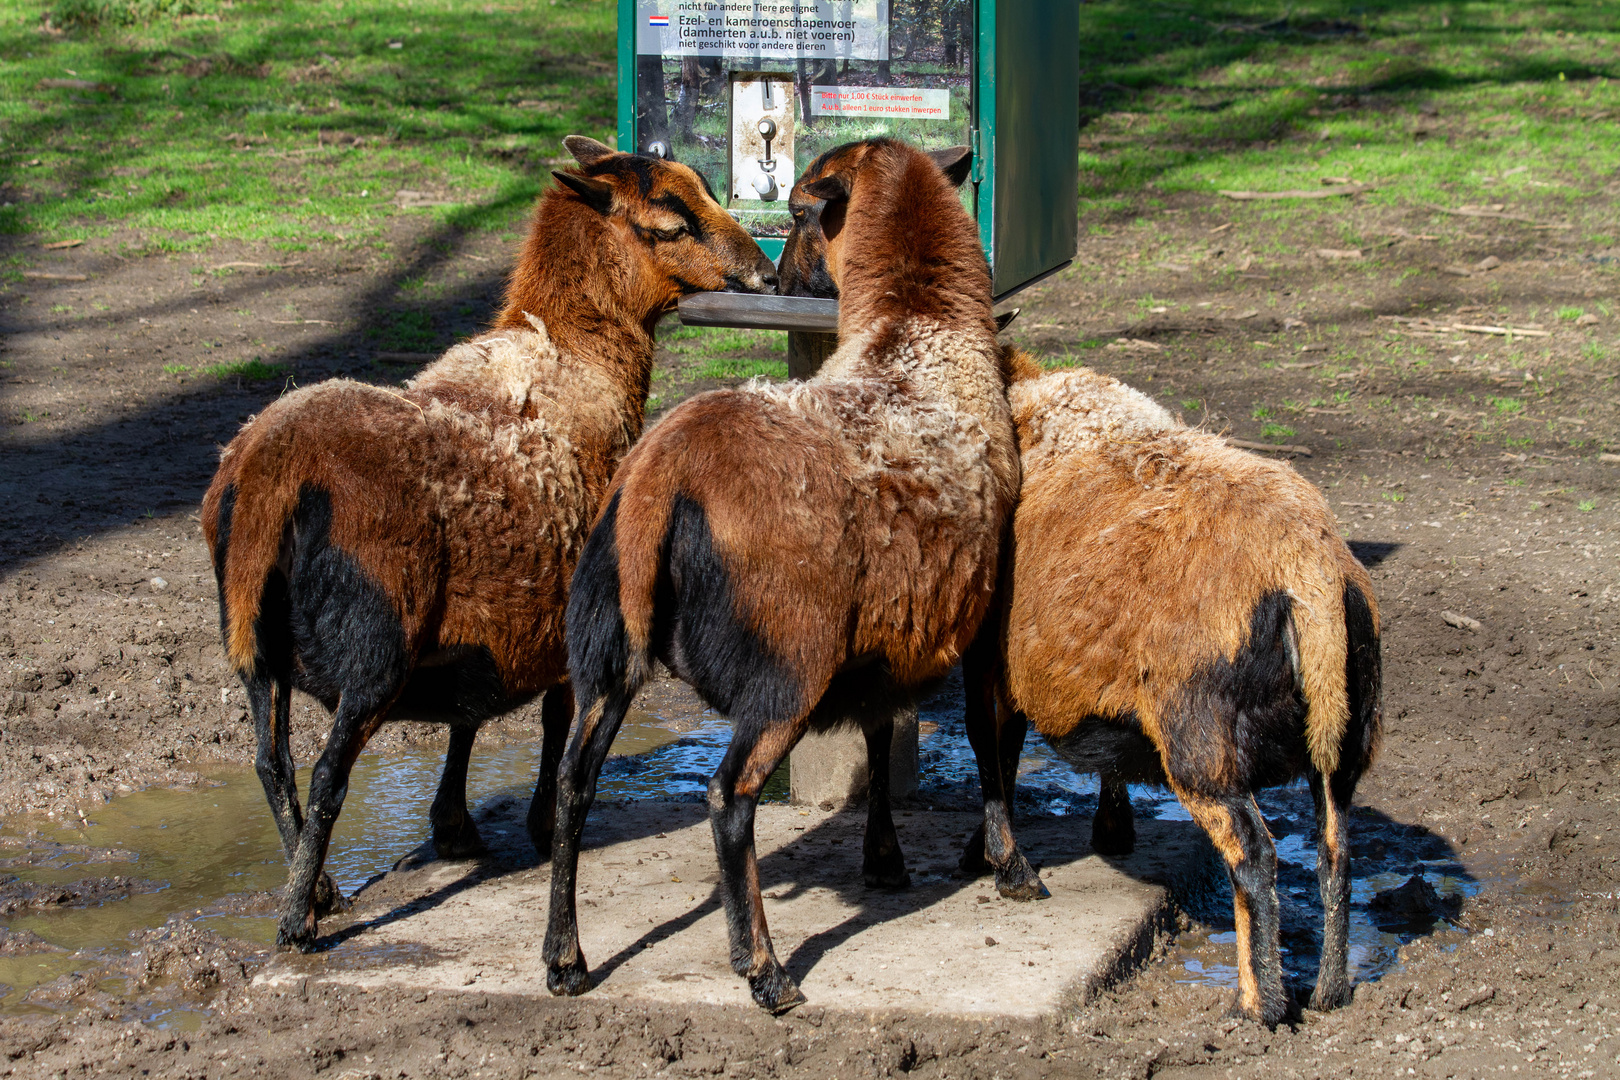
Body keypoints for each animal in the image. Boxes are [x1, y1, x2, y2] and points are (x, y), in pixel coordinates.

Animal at [196, 137, 777, 952]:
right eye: (669, 225)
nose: (766, 275)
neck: (576, 354)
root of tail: (266, 474)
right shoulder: (568, 605)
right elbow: (556, 718)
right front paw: (532, 822)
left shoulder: (492, 615)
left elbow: (468, 715)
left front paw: (454, 827)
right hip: (376, 642)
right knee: (325, 774)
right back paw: (296, 921)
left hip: (254, 643)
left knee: (270, 762)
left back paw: (323, 892)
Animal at [550, 137, 1017, 1016]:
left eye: (797, 214)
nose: (776, 280)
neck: (918, 331)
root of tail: (663, 470)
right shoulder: (980, 609)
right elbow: (986, 734)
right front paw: (1013, 867)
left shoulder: (885, 631)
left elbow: (878, 730)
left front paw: (884, 858)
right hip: (787, 660)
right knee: (729, 797)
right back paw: (764, 970)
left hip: (604, 647)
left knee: (573, 782)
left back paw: (564, 958)